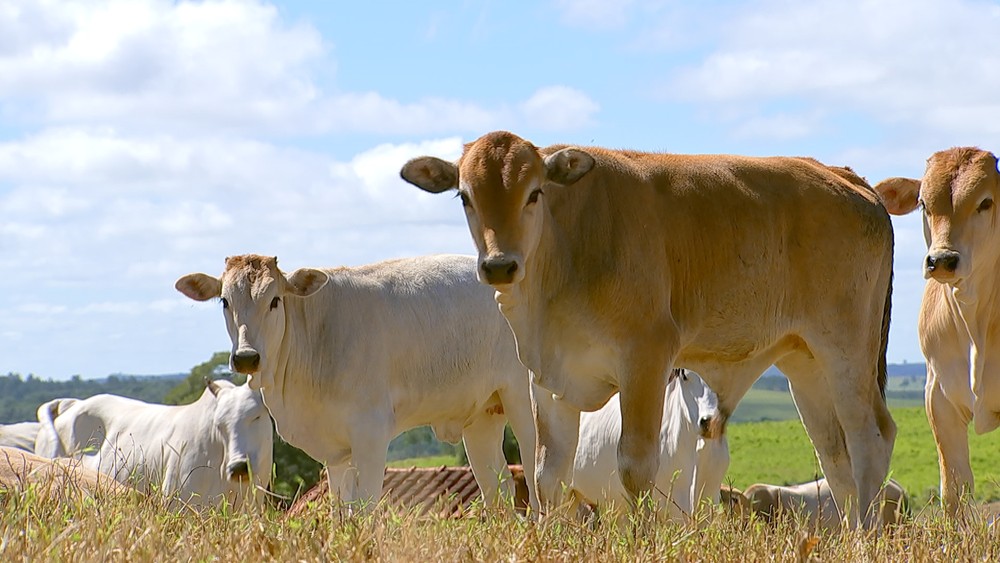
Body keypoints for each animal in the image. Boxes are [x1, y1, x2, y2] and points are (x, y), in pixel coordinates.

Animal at [178, 254, 540, 512]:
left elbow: (364, 509)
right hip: (482, 418)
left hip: (525, 402)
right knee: (500, 490)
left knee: (538, 480)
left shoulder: (371, 435)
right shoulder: (336, 453)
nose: (246, 357)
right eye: (225, 301)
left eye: (274, 300)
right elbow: (343, 512)